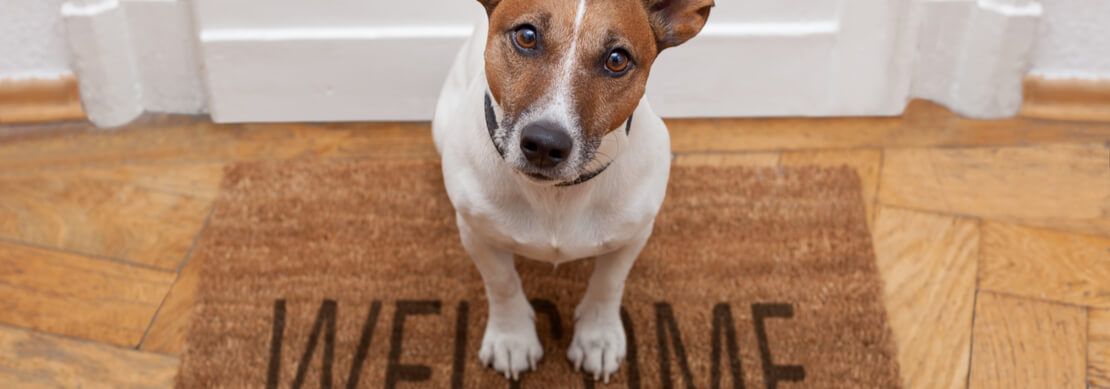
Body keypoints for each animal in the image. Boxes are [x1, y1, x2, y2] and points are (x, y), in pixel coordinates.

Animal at [428, 0, 714, 382]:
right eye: (526, 36)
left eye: (617, 59)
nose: (545, 143)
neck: (556, 195)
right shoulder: (477, 232)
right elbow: (502, 282)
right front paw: (511, 338)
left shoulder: (634, 234)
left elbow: (608, 283)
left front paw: (598, 338)